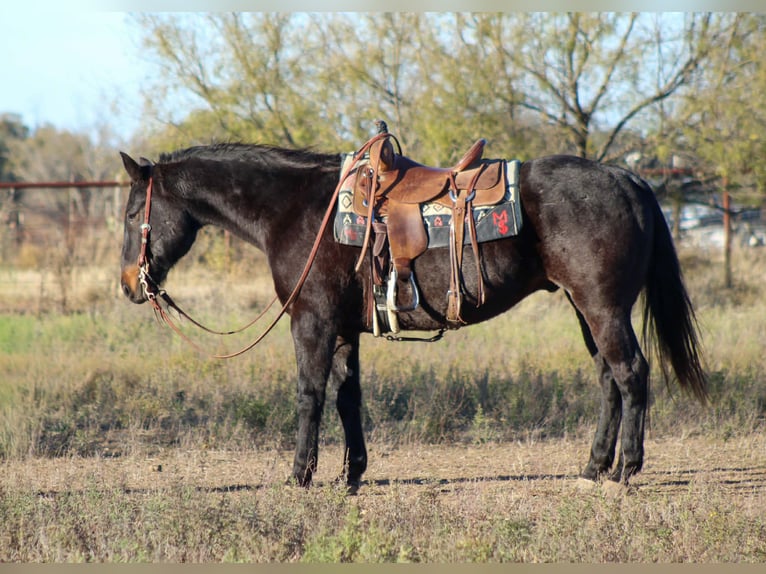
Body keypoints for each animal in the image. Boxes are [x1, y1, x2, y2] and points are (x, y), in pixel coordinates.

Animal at [118, 140, 707, 492]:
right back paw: (592, 468)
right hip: (586, 308)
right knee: (608, 378)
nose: (128, 284)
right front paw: (352, 475)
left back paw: (624, 471)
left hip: (602, 307)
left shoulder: (312, 321)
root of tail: (626, 178)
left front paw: (300, 475)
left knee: (630, 374)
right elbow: (347, 398)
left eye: (129, 214)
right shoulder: (344, 329)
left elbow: (310, 395)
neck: (299, 210)